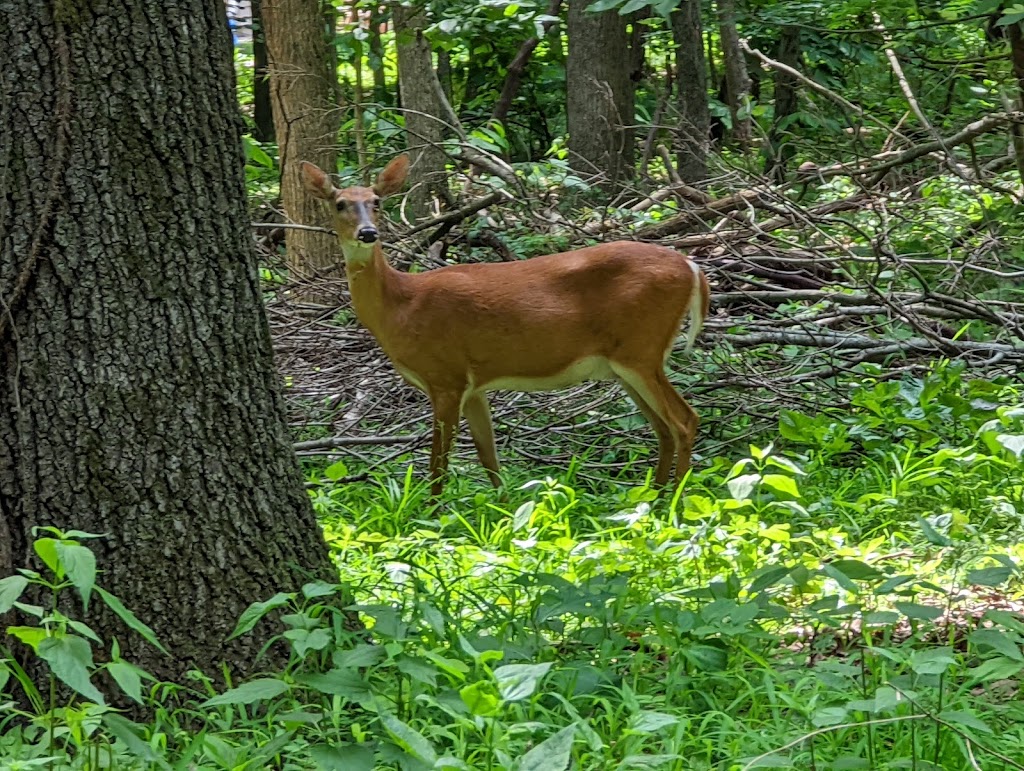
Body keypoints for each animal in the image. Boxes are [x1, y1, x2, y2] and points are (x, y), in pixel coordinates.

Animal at [299, 153, 708, 495]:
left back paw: (674, 500)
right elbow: (488, 457)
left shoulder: (446, 376)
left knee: (684, 420)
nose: (368, 233)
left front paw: (431, 515)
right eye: (339, 203)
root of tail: (692, 267)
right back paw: (654, 497)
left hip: (641, 349)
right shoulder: (473, 385)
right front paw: (503, 509)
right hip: (625, 363)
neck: (401, 305)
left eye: (377, 202)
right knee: (662, 428)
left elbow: (438, 464)